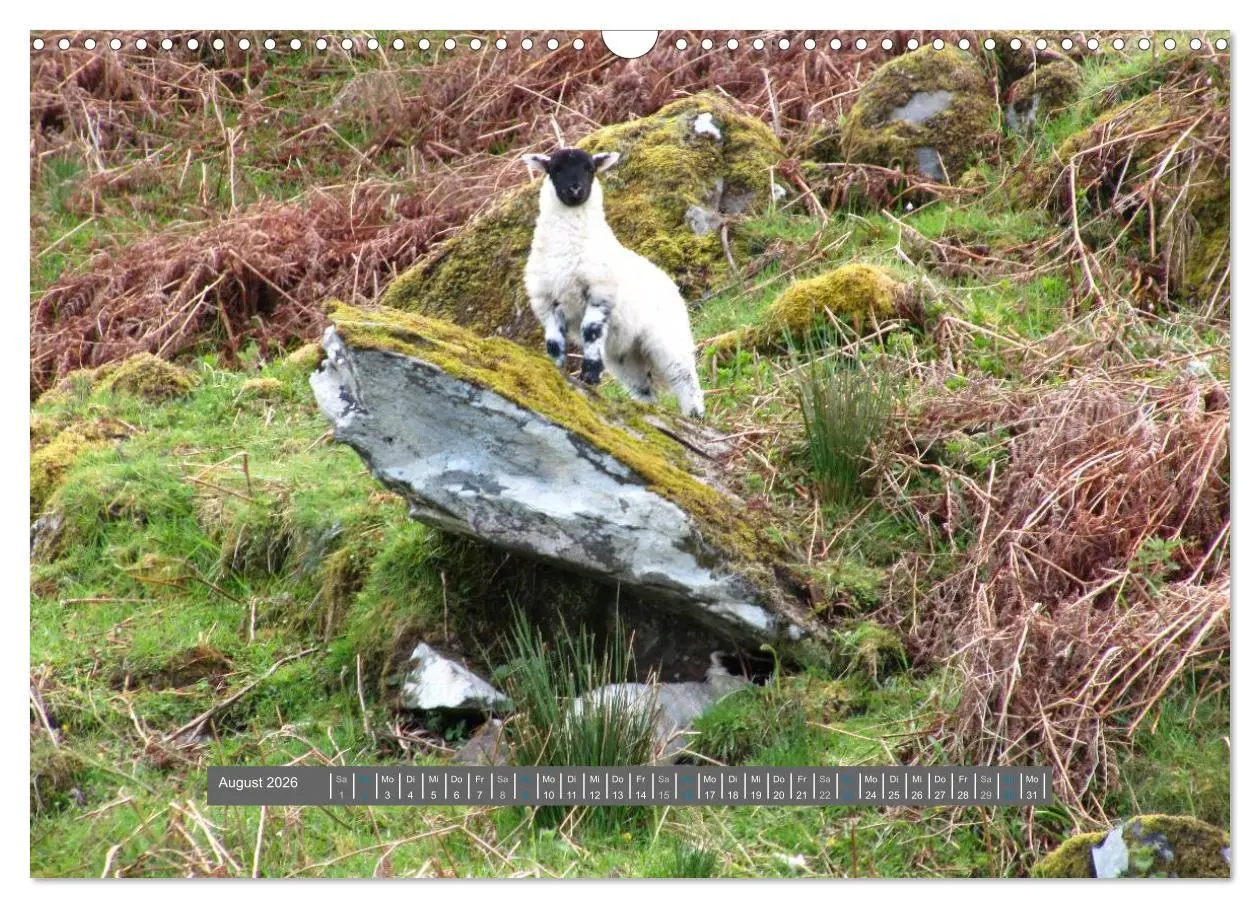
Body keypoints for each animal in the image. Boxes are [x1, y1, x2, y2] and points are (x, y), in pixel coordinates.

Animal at [521, 147, 706, 419]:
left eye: (590, 169)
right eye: (555, 169)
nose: (575, 189)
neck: (567, 247)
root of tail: (669, 283)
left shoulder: (600, 292)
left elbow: (590, 331)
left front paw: (589, 375)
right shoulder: (547, 301)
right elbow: (554, 343)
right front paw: (556, 369)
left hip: (668, 336)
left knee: (684, 377)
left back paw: (695, 416)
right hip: (626, 355)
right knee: (643, 387)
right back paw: (646, 409)